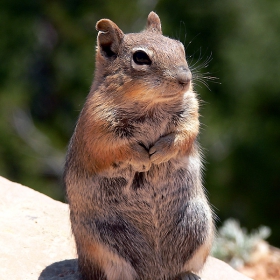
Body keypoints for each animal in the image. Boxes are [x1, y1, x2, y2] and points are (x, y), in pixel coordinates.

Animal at [64, 11, 214, 280]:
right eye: (141, 57)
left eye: (180, 46)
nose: (185, 79)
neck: (151, 103)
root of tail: (156, 272)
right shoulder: (99, 129)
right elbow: (116, 147)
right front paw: (144, 159)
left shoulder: (190, 112)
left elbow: (184, 134)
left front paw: (160, 152)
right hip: (102, 246)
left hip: (199, 224)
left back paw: (186, 274)